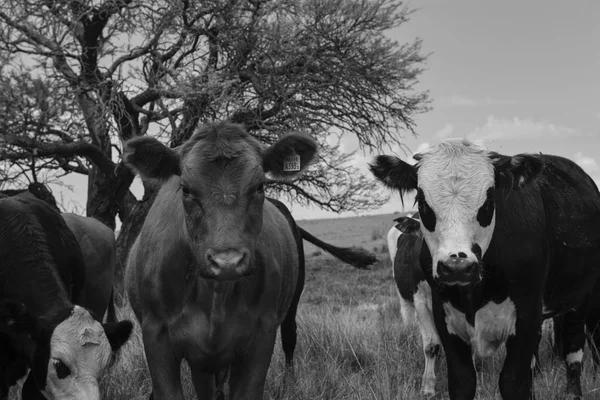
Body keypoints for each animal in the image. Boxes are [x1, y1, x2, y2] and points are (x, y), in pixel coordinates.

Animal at [123, 121, 376, 400]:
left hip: (292, 301)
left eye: (259, 186)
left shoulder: (261, 334)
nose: (227, 262)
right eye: (186, 189)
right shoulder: (156, 335)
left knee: (290, 338)